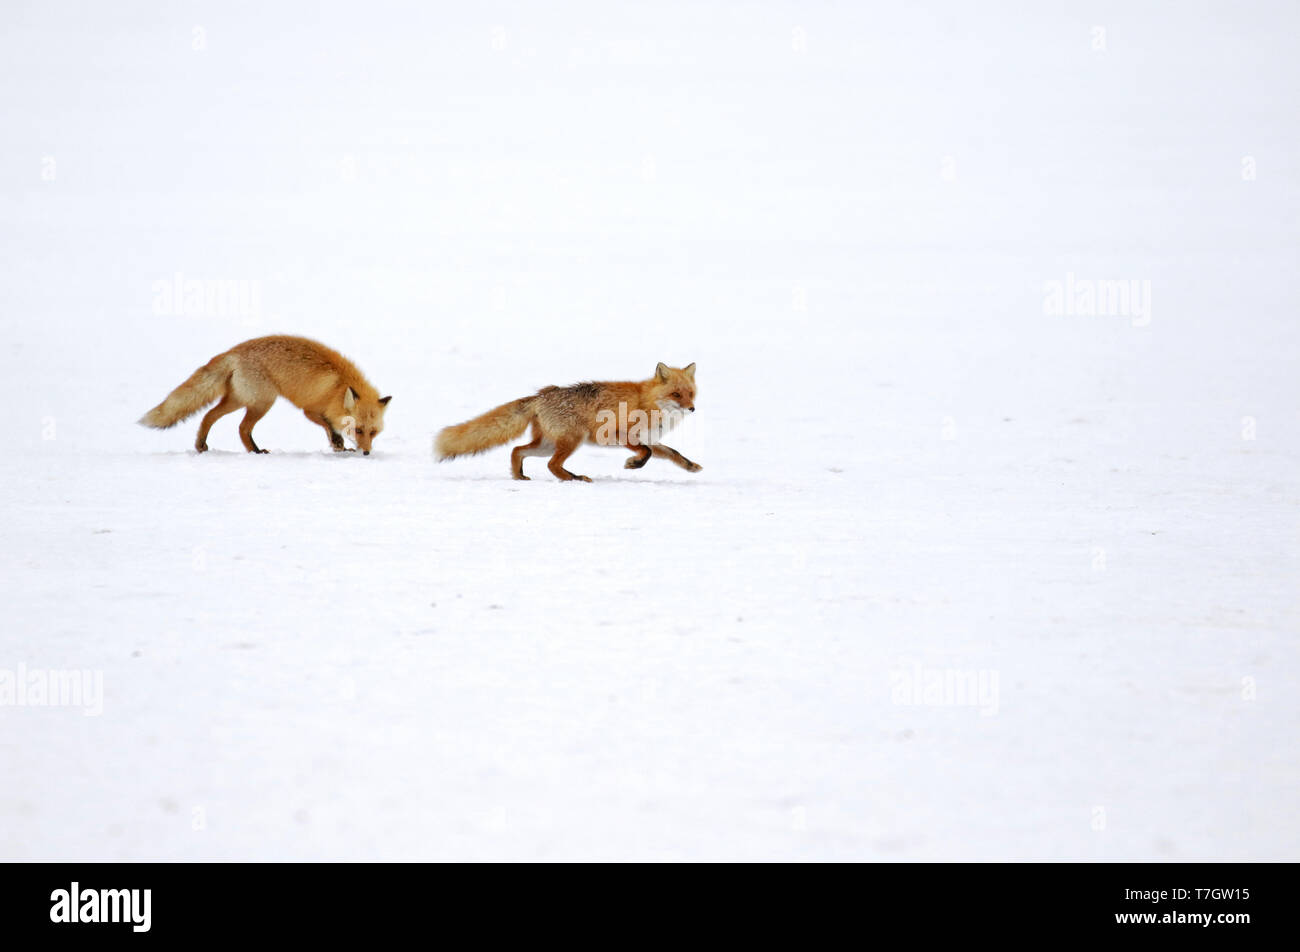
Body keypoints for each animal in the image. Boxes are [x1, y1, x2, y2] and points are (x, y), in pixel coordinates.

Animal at [139, 335, 392, 454]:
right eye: (358, 430)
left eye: (373, 432)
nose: (366, 453)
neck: (338, 387)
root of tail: (233, 351)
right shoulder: (309, 410)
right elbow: (328, 425)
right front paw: (338, 442)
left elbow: (331, 428)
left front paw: (339, 446)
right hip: (262, 402)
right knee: (242, 427)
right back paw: (256, 451)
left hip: (240, 399)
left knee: (208, 415)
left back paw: (202, 444)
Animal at [434, 362, 701, 481]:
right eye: (676, 394)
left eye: (690, 393)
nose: (692, 408)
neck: (647, 402)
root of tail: (541, 395)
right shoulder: (618, 434)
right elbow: (645, 453)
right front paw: (632, 464)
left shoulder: (649, 439)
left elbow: (673, 453)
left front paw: (691, 466)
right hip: (573, 440)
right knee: (551, 465)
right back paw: (574, 478)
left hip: (548, 445)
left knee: (517, 450)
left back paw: (519, 476)